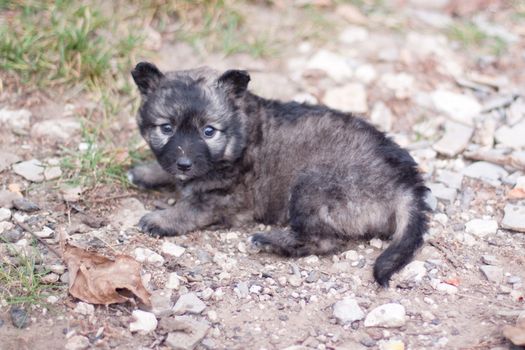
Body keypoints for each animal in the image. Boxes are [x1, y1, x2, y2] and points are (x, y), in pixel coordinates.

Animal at [129, 63, 428, 286]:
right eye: (166, 128)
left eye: (209, 131)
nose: (184, 163)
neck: (241, 134)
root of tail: (406, 183)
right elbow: (166, 170)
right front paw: (147, 172)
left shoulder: (221, 198)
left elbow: (188, 209)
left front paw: (161, 219)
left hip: (313, 186)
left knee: (323, 239)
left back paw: (270, 241)